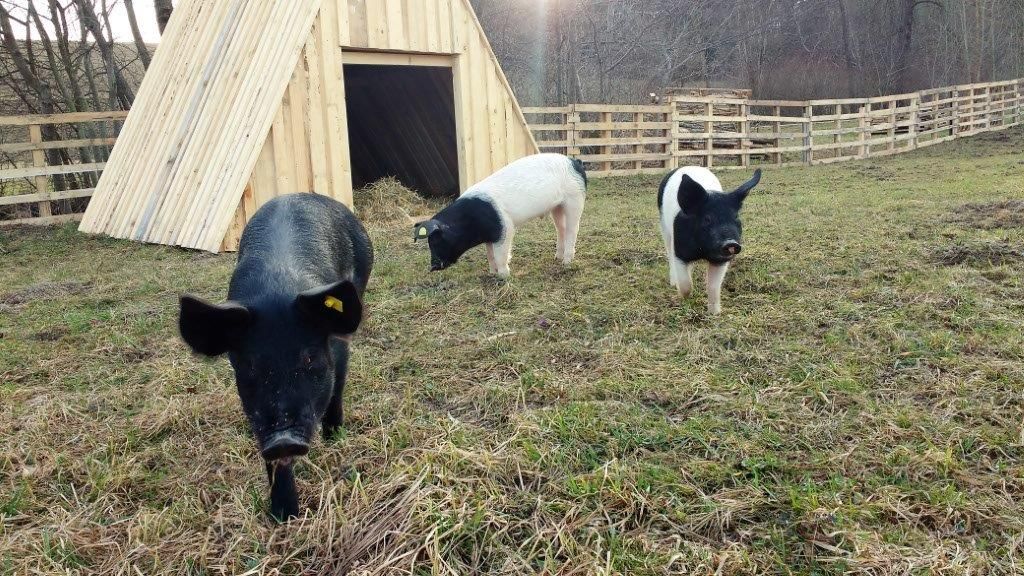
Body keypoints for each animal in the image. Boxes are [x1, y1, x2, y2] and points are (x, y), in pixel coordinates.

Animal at [178, 193, 373, 521]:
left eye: (309, 358)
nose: (283, 440)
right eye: (249, 365)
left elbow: (338, 385)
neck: (276, 289)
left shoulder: (337, 346)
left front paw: (335, 436)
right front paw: (284, 517)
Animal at [413, 153, 587, 278]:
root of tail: (575, 161)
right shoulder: (489, 236)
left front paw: (504, 277)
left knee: (573, 229)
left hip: (575, 198)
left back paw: (566, 263)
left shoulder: (505, 228)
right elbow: (490, 255)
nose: (433, 266)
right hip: (556, 207)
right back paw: (557, 257)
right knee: (561, 229)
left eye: (436, 241)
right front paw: (492, 273)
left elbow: (500, 254)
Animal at [658, 166, 762, 314]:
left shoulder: (721, 260)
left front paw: (714, 313)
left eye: (735, 217)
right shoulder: (680, 252)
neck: (703, 251)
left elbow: (713, 286)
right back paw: (673, 282)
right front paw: (685, 299)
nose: (731, 243)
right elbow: (686, 284)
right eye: (707, 219)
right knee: (669, 254)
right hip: (664, 229)